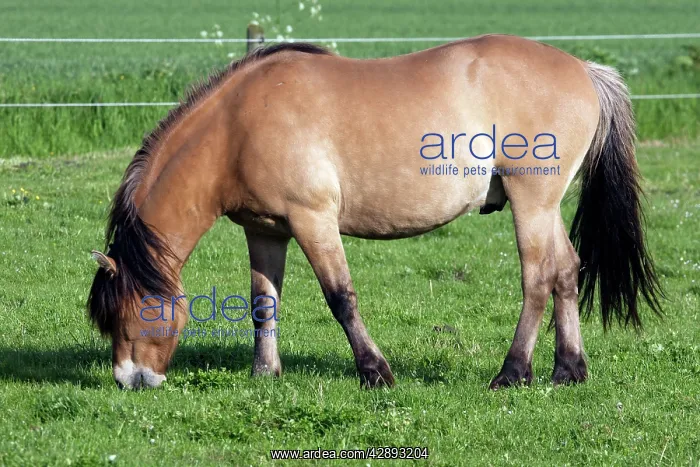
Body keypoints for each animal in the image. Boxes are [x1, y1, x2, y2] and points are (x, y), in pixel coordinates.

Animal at [87, 35, 663, 390]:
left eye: (125, 313)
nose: (130, 380)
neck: (237, 125)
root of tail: (585, 69)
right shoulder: (266, 231)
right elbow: (262, 303)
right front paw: (265, 373)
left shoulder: (313, 220)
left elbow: (340, 298)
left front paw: (374, 372)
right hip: (545, 208)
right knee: (566, 271)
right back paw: (568, 369)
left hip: (532, 203)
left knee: (539, 278)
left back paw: (513, 372)